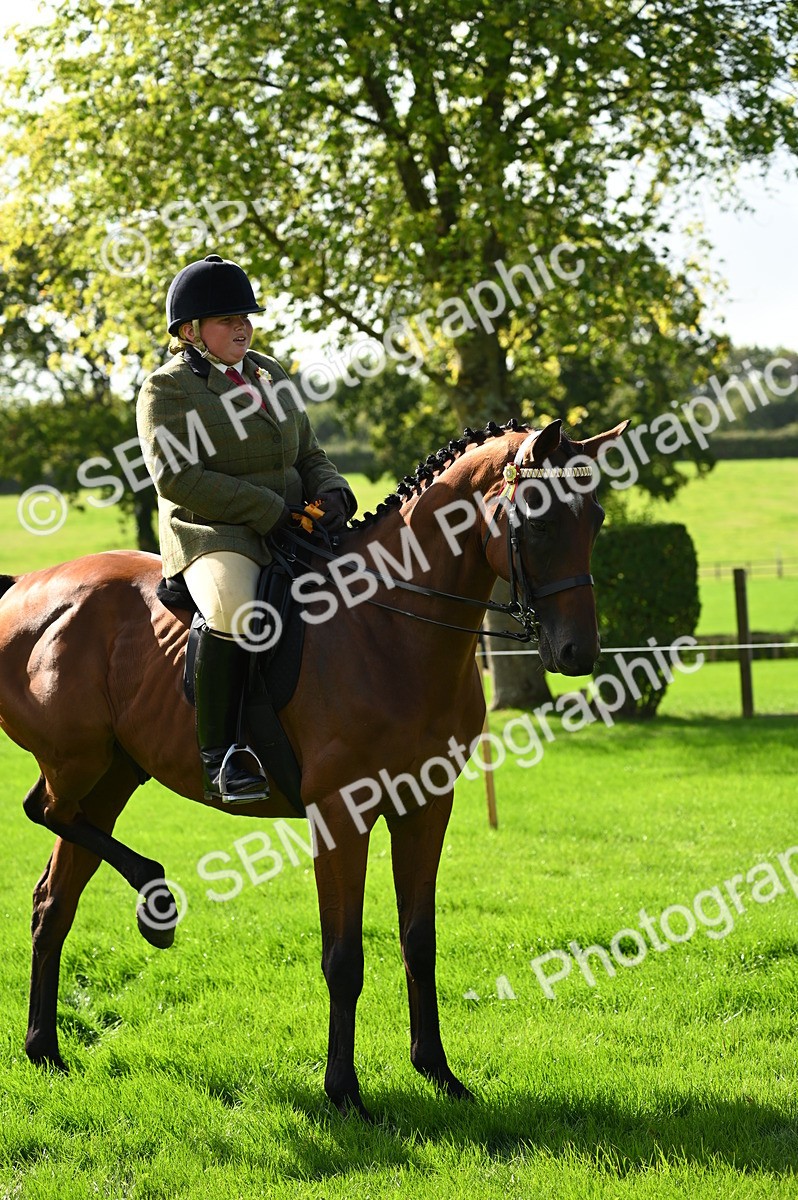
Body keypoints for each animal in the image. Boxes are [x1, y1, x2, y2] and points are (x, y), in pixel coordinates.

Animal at [0, 417, 624, 1118]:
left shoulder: (426, 806)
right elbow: (343, 958)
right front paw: (345, 1092)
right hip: (77, 762)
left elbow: (419, 941)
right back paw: (154, 897)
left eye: (596, 517)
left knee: (54, 898)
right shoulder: (340, 816)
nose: (577, 653)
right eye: (538, 521)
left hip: (113, 776)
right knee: (44, 809)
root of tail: (23, 588)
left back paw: (44, 1048)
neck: (390, 630)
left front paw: (438, 1072)